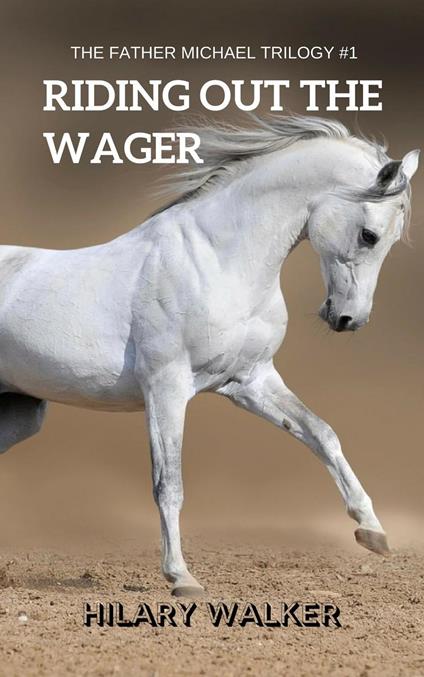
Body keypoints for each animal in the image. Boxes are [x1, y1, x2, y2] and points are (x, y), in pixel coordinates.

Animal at [0, 115, 419, 596]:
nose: (349, 319)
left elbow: (321, 434)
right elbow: (169, 484)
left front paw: (372, 531)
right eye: (369, 235)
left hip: (21, 413)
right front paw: (181, 577)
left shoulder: (250, 381)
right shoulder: (166, 389)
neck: (219, 261)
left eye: (391, 240)